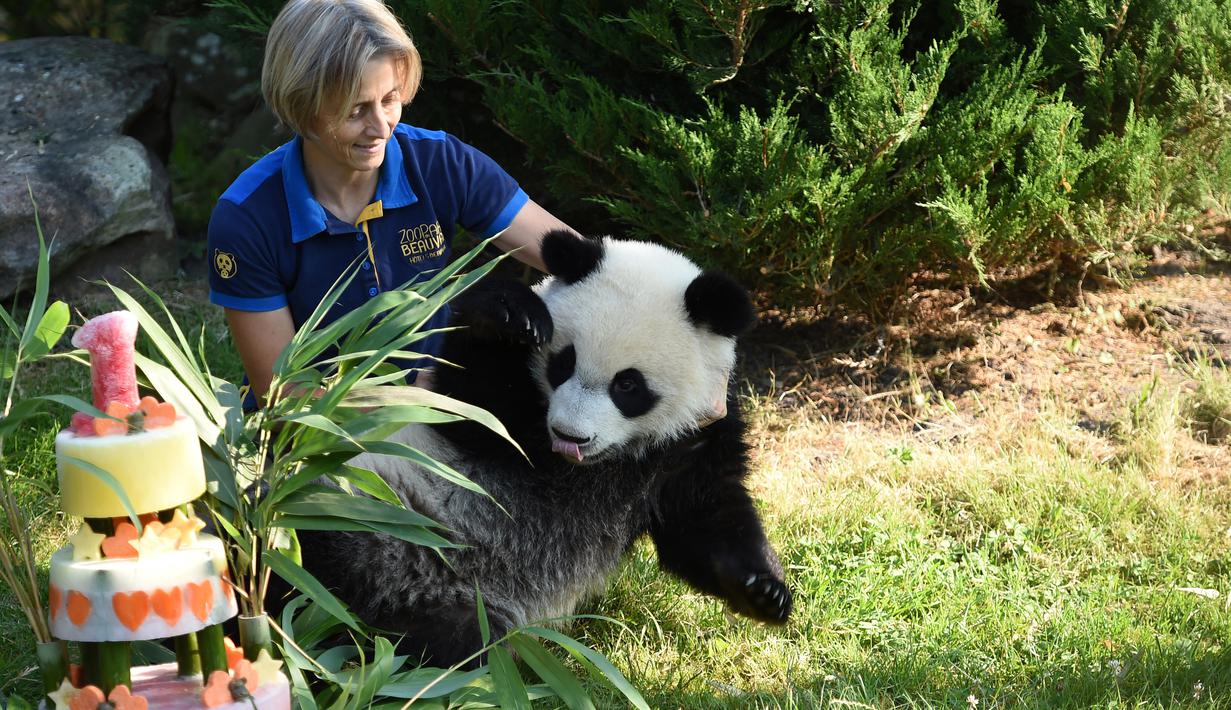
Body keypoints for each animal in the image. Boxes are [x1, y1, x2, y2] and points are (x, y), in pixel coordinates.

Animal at [297, 230, 792, 667]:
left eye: (628, 385)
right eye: (562, 363)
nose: (570, 436)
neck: (594, 465)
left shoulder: (693, 438)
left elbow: (703, 521)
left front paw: (764, 593)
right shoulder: (496, 417)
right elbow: (469, 397)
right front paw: (509, 313)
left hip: (449, 606)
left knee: (449, 644)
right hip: (354, 508)